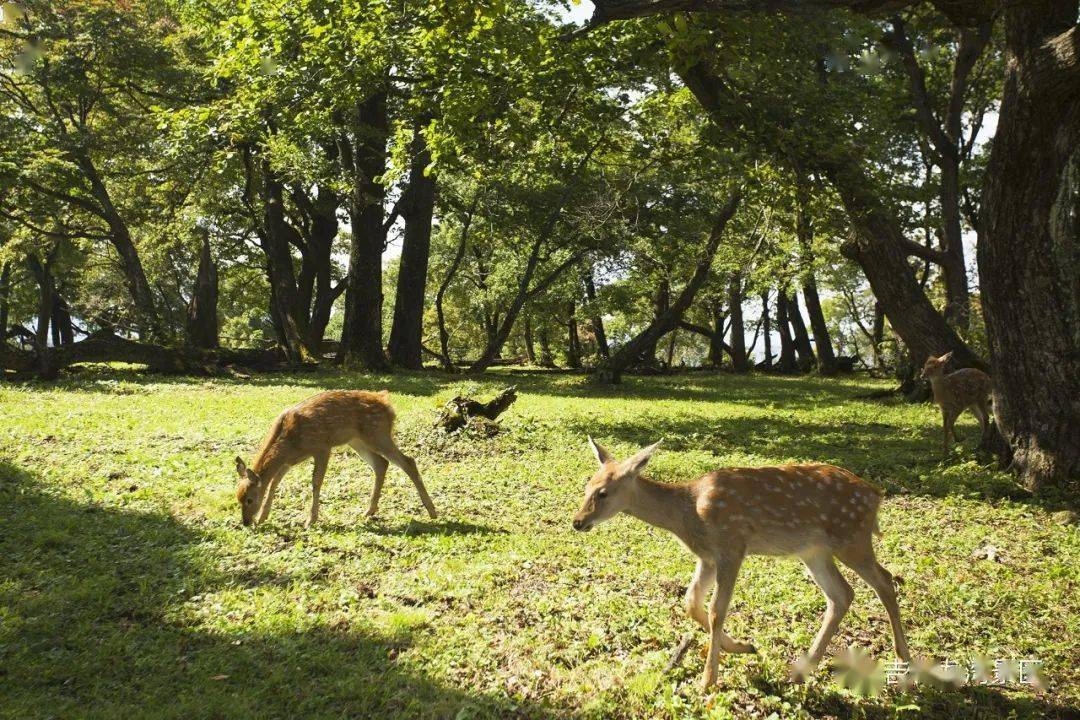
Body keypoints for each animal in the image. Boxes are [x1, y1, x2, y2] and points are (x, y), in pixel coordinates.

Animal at [234, 390, 436, 526]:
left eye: (249, 499)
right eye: (238, 498)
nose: (246, 522)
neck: (289, 441)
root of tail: (386, 401)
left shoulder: (322, 447)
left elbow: (316, 482)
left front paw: (310, 520)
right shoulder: (289, 460)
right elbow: (275, 482)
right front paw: (263, 517)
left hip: (379, 433)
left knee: (408, 461)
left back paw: (432, 511)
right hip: (357, 440)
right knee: (381, 463)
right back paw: (369, 511)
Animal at [574, 436, 911, 690]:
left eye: (603, 493)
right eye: (586, 486)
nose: (577, 521)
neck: (687, 514)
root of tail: (876, 495)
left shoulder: (731, 546)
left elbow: (716, 610)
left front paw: (708, 681)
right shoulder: (707, 556)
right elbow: (690, 601)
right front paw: (744, 646)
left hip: (851, 537)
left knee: (884, 580)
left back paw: (903, 662)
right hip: (814, 550)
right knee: (842, 594)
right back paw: (801, 670)